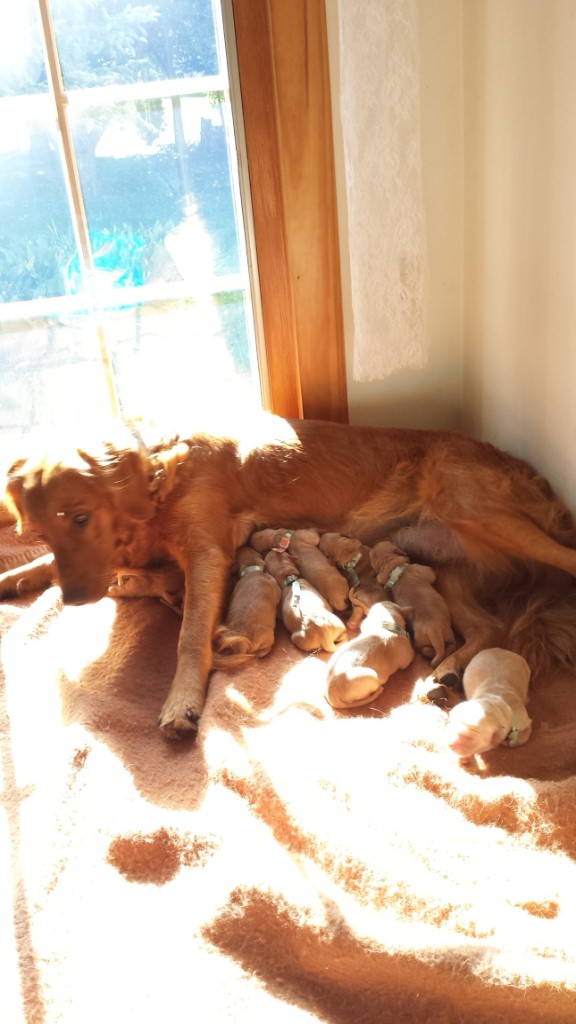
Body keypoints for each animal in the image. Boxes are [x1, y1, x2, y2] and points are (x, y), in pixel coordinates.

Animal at [1, 411, 573, 741]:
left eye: (81, 517)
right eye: (38, 528)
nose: (75, 600)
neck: (160, 474)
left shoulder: (207, 552)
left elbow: (189, 637)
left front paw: (181, 703)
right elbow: (64, 565)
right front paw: (23, 575)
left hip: (478, 511)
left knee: (564, 562)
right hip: (446, 563)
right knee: (488, 628)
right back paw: (446, 672)